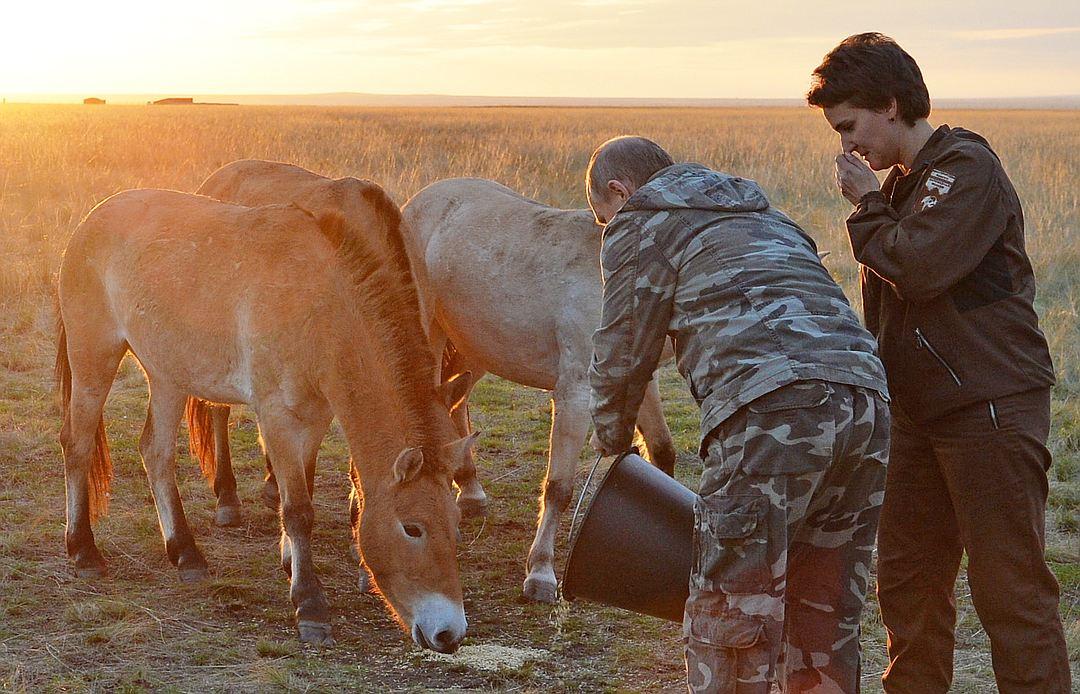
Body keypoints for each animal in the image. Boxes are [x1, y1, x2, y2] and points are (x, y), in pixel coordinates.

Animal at [56, 185, 475, 651]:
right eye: (412, 528)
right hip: (94, 356)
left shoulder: (314, 416)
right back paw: (83, 550)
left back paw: (185, 553)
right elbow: (298, 509)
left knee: (156, 453)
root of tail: (92, 219)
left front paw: (292, 564)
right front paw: (310, 605)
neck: (321, 305)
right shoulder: (276, 416)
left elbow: (302, 487)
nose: (449, 633)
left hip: (168, 375)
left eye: (455, 524)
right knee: (77, 443)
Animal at [401, 178, 678, 604]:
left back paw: (470, 491)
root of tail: (419, 201)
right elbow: (559, 488)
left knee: (454, 405)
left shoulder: (640, 380)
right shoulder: (576, 393)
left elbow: (663, 452)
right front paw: (541, 573)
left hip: (474, 349)